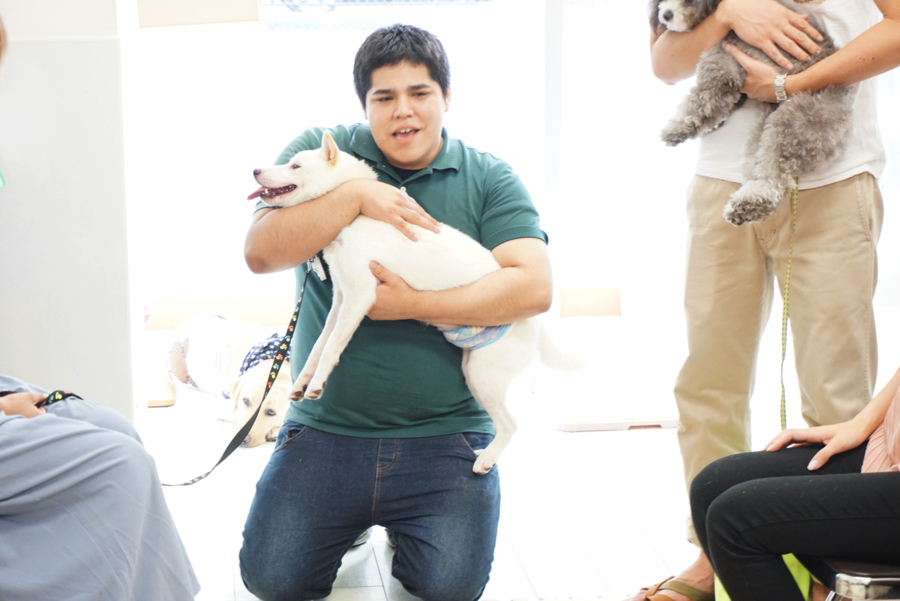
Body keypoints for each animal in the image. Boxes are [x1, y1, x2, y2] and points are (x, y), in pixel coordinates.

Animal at [651, 0, 854, 225]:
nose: (666, 15)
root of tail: (840, 97)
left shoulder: (723, 66)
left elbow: (700, 103)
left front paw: (676, 128)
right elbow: (719, 108)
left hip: (792, 124)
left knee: (774, 174)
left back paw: (749, 202)